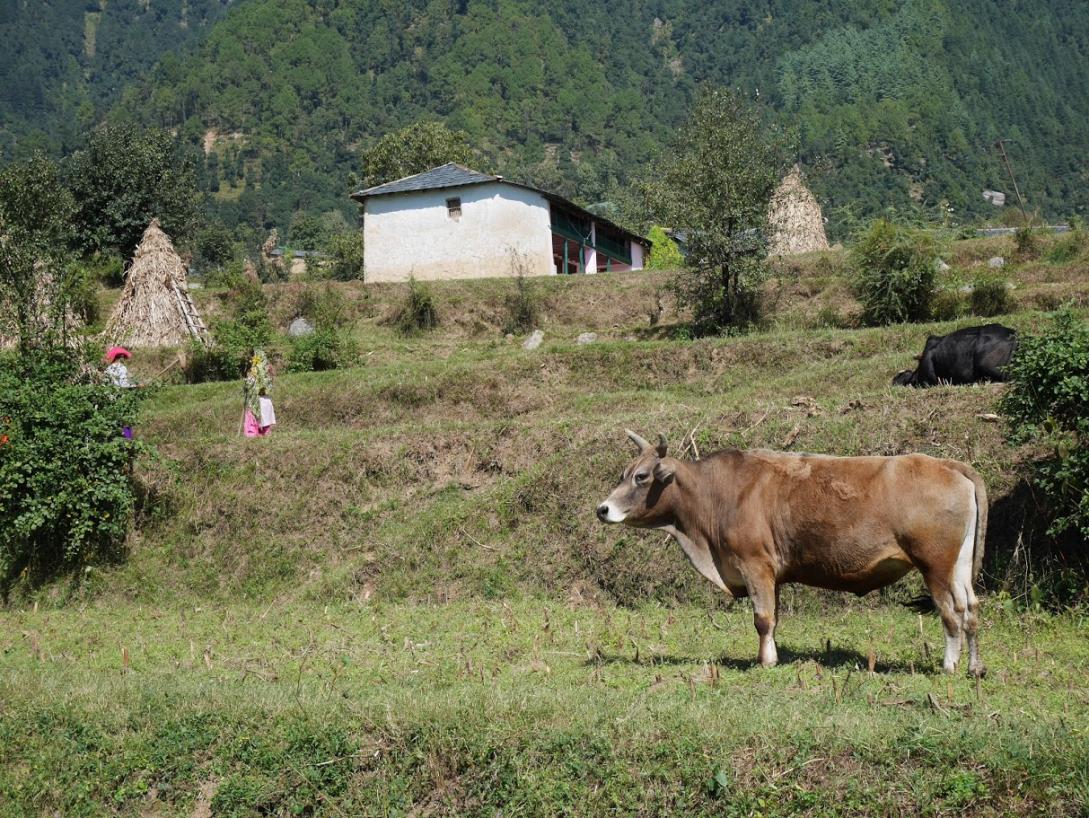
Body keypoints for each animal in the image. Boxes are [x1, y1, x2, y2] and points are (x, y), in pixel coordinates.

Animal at [596, 431, 988, 675]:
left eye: (642, 476)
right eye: (623, 473)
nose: (602, 509)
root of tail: (950, 465)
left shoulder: (754, 564)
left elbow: (762, 619)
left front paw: (765, 661)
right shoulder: (773, 573)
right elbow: (774, 618)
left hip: (935, 565)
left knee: (951, 613)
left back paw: (950, 665)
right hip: (959, 566)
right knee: (970, 608)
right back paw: (974, 666)